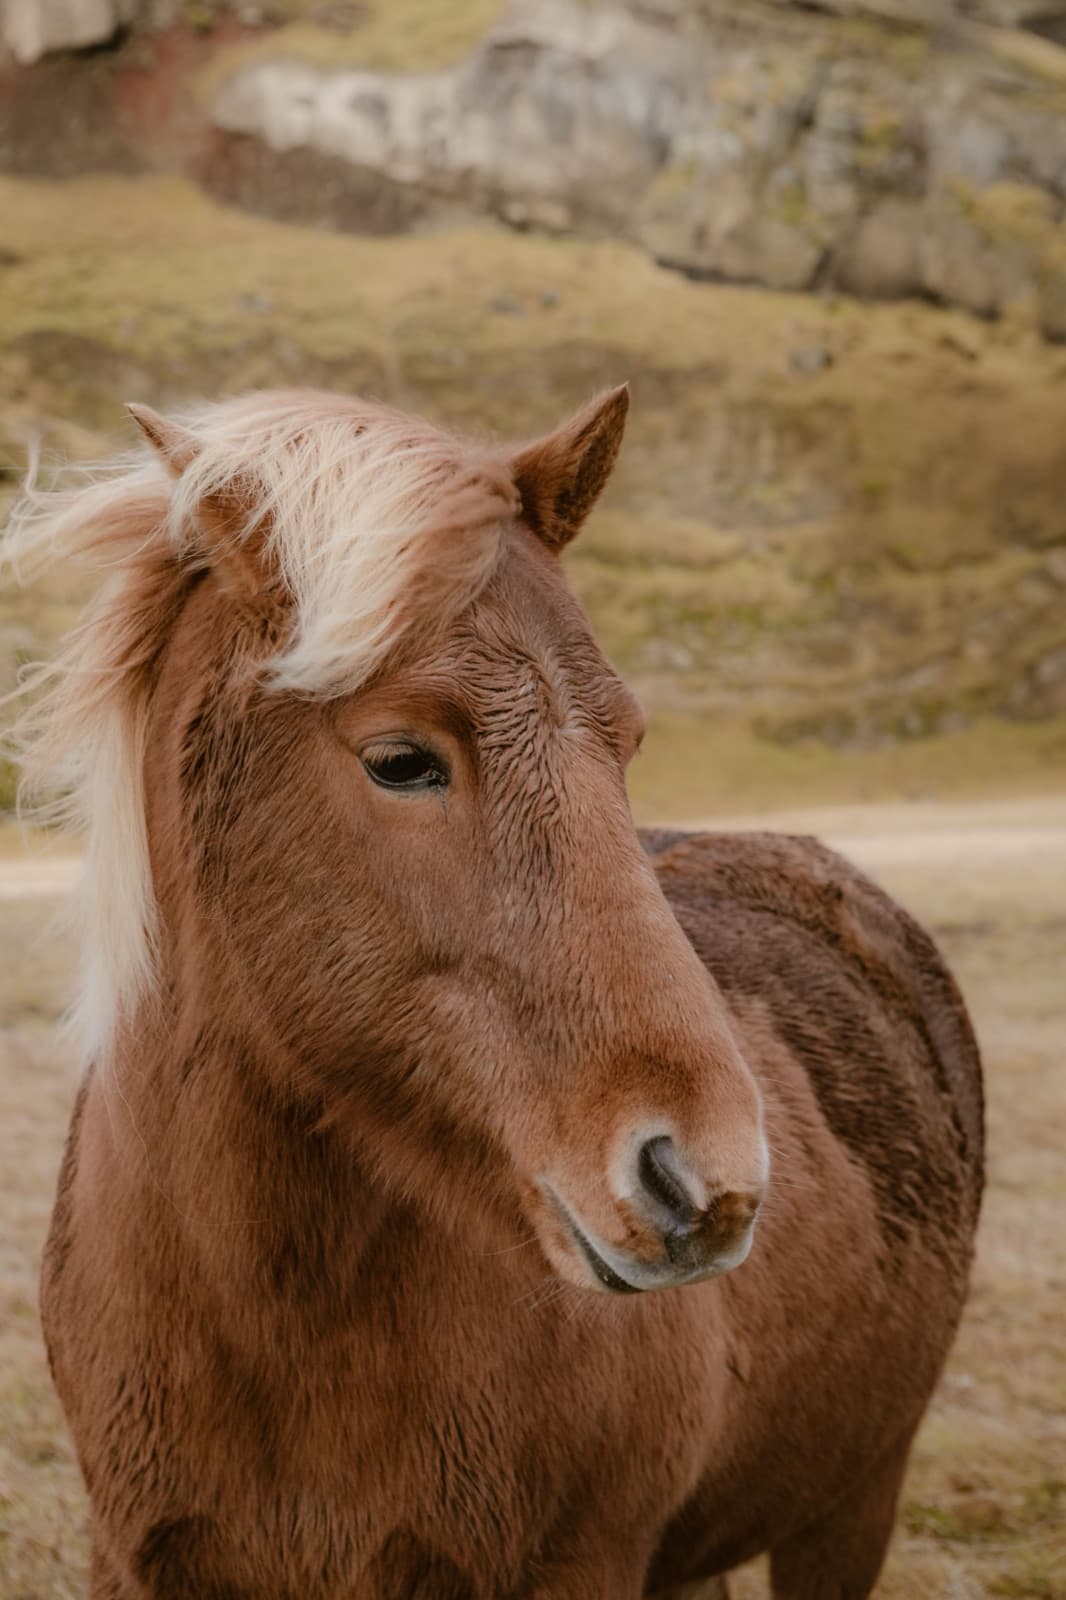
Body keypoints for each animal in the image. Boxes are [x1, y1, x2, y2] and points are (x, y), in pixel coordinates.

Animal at [5, 385, 983, 1599]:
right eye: (399, 759)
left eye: (626, 739)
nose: (707, 1182)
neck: (274, 1321)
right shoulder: (135, 1558)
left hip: (849, 1507)